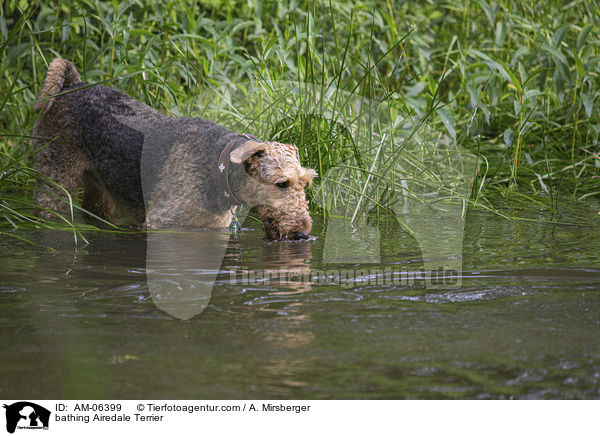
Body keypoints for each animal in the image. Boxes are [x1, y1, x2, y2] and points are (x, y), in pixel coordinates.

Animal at [32, 58, 316, 240]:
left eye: (306, 183)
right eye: (282, 183)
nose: (302, 233)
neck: (217, 166)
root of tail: (72, 85)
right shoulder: (163, 223)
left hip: (102, 191)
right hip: (54, 179)